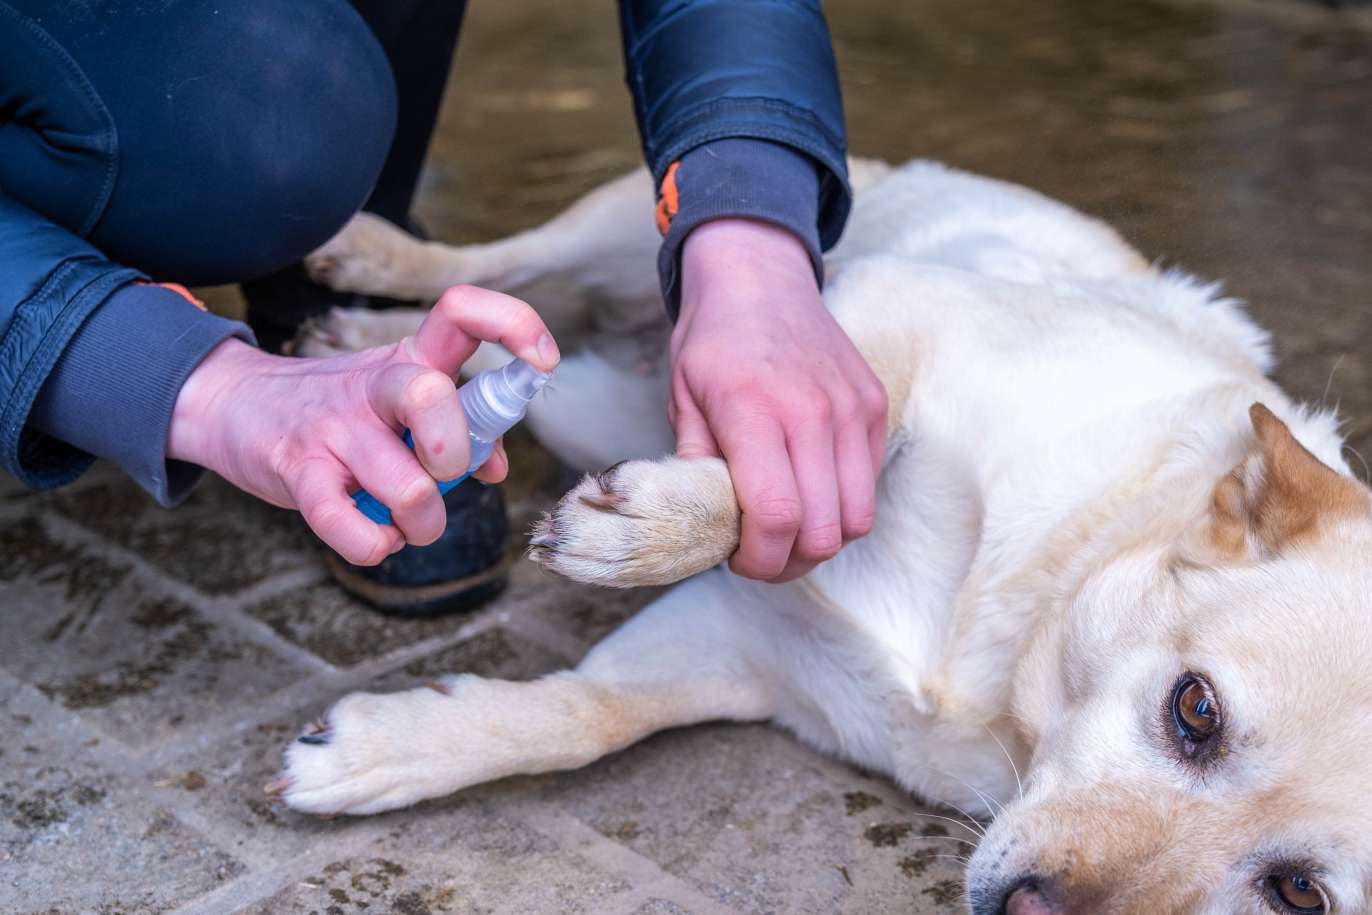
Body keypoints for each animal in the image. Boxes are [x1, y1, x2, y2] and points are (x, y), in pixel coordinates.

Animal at [267, 161, 1372, 915]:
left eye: (1299, 894)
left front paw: (384, 751)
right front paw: (666, 526)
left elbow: (587, 714)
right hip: (638, 224)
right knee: (506, 263)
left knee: (527, 339)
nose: (1030, 908)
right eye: (1197, 711)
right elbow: (812, 417)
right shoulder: (891, 312)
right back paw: (371, 283)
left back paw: (399, 359)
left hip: (583, 397)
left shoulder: (754, 655)